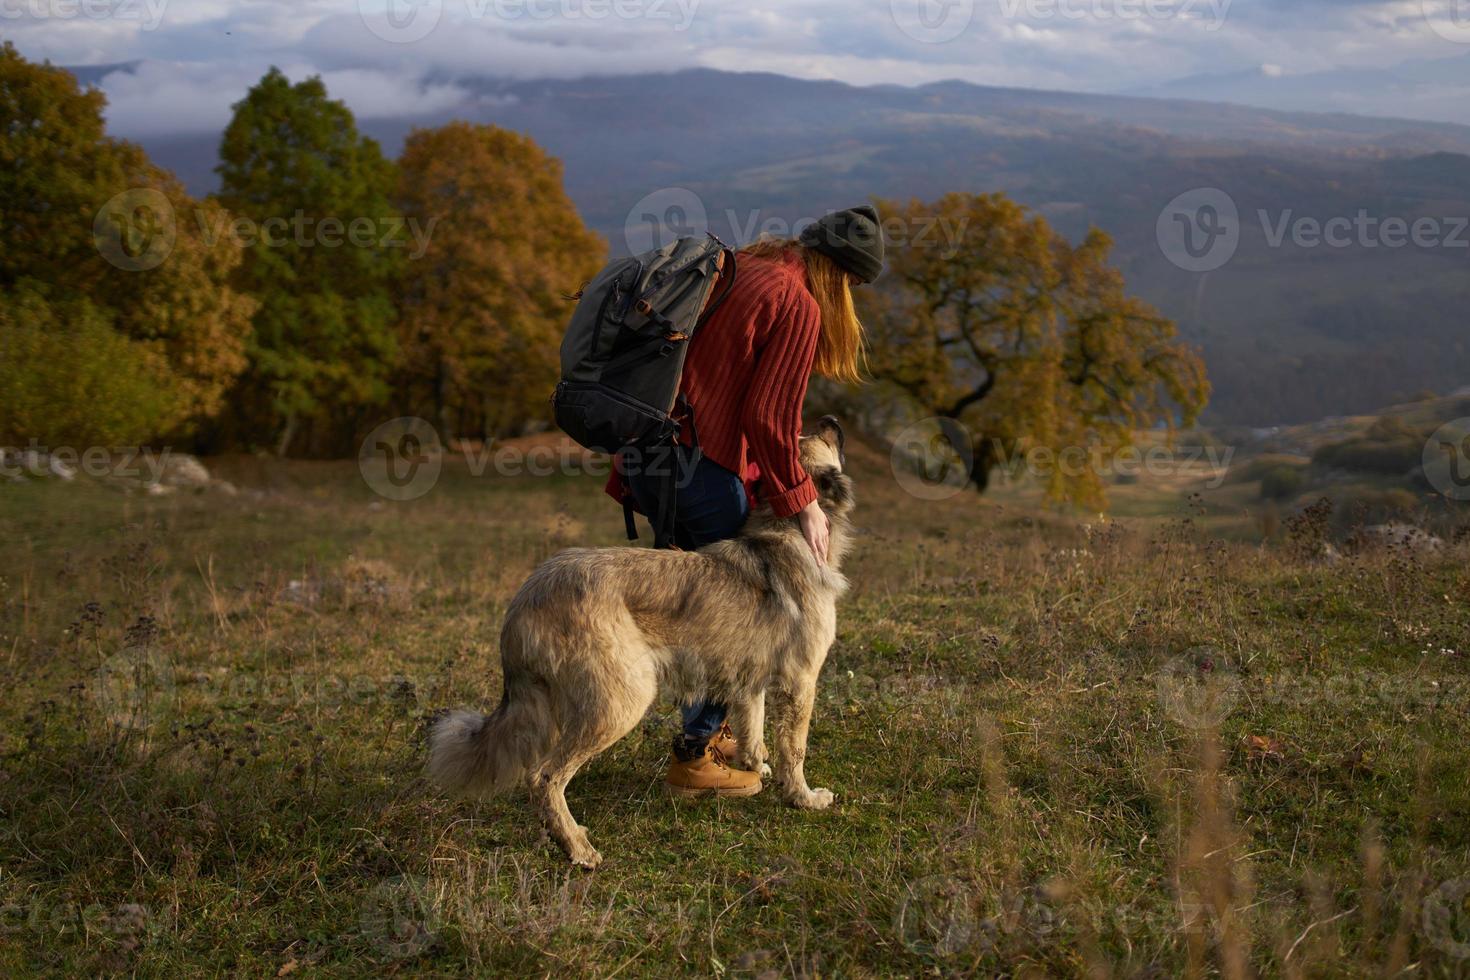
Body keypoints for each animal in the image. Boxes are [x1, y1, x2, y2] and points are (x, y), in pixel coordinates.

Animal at [426, 417, 858, 869]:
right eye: (816, 437)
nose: (832, 421)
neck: (782, 527)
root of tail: (528, 596)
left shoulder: (748, 678)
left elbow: (752, 729)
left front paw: (757, 766)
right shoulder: (800, 682)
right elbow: (796, 749)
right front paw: (803, 798)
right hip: (621, 700)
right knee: (543, 777)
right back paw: (576, 848)